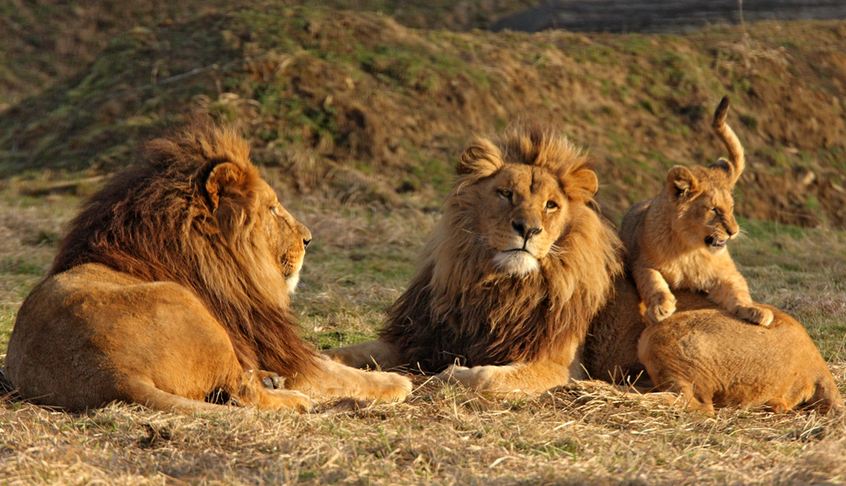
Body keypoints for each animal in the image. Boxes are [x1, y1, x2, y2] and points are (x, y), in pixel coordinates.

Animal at [3, 120, 414, 410]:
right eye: (272, 208)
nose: (309, 238)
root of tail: (110, 375)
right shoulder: (278, 351)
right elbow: (339, 373)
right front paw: (395, 382)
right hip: (189, 308)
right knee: (244, 393)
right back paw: (293, 399)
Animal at [328, 126, 628, 394]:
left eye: (551, 205)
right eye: (506, 193)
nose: (528, 230)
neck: (499, 288)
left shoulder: (560, 365)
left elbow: (488, 378)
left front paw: (450, 374)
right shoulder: (418, 339)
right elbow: (351, 351)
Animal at [624, 97, 776, 326]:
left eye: (731, 208)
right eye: (713, 210)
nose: (734, 232)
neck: (689, 249)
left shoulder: (727, 273)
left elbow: (738, 291)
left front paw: (754, 310)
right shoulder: (641, 263)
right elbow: (654, 282)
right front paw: (661, 307)